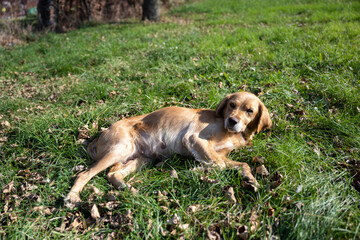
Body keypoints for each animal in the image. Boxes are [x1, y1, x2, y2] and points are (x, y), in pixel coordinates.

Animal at [64, 91, 272, 207]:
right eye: (231, 105)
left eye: (250, 111)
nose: (232, 121)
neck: (233, 134)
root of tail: (98, 135)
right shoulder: (194, 138)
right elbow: (218, 164)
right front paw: (198, 171)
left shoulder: (222, 154)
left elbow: (242, 164)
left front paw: (252, 181)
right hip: (119, 149)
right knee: (84, 174)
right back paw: (72, 197)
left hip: (141, 158)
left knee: (112, 174)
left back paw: (130, 190)